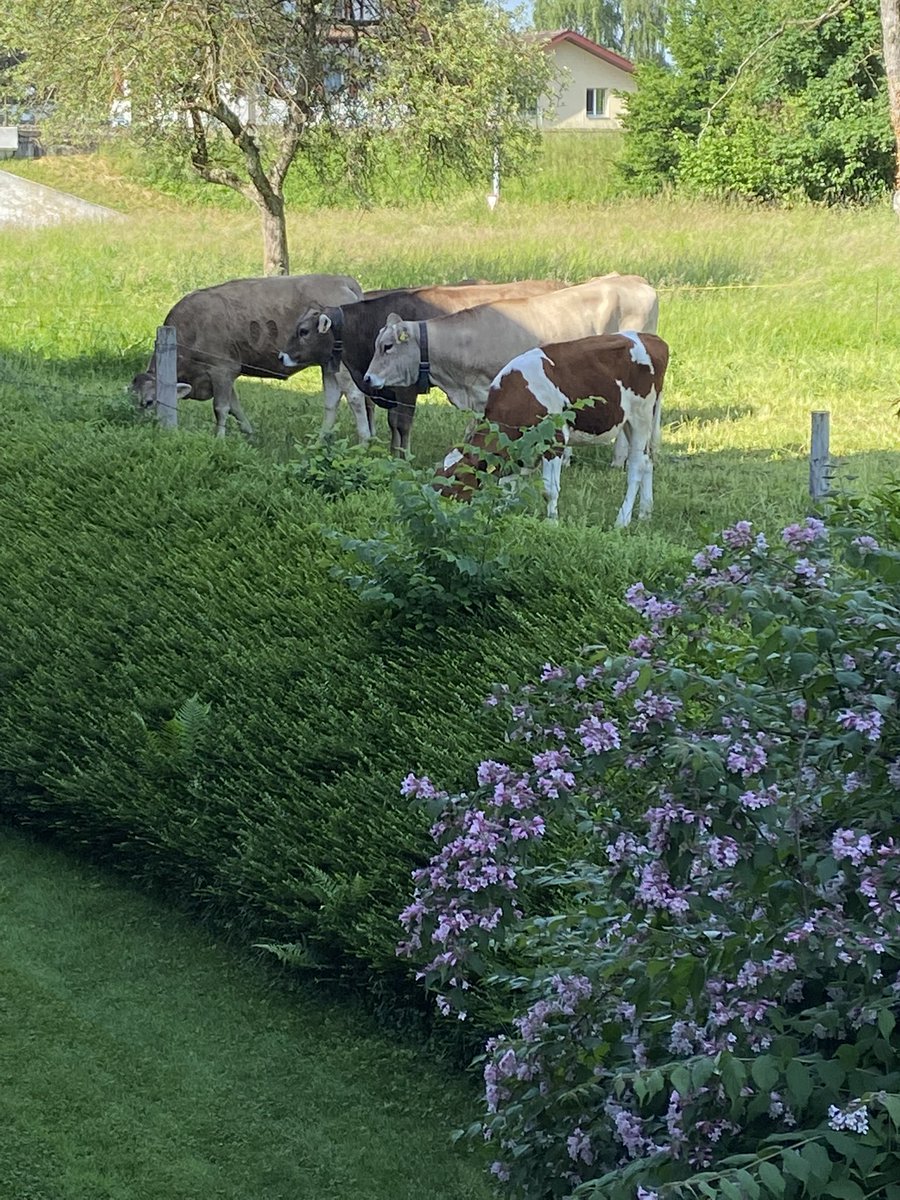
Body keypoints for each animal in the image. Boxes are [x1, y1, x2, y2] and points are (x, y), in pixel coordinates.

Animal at [131, 274, 364, 437]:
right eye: (132, 398)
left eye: (149, 402)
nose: (139, 426)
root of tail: (342, 280)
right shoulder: (226, 374)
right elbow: (235, 407)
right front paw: (249, 434)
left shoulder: (222, 369)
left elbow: (221, 408)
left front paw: (219, 439)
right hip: (329, 363)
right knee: (332, 399)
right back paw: (321, 439)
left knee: (355, 396)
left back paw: (363, 441)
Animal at [277, 280, 566, 456]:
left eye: (303, 331)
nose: (281, 356)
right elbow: (393, 423)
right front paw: (393, 453)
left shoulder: (406, 388)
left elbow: (402, 423)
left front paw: (403, 456)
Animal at [435, 331, 669, 526]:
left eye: (457, 477)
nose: (437, 505)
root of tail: (651, 338)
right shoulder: (516, 449)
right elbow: (507, 484)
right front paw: (500, 513)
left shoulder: (554, 440)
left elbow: (549, 490)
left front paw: (551, 524)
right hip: (630, 421)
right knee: (648, 461)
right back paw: (645, 513)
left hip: (641, 417)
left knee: (637, 466)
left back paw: (623, 519)